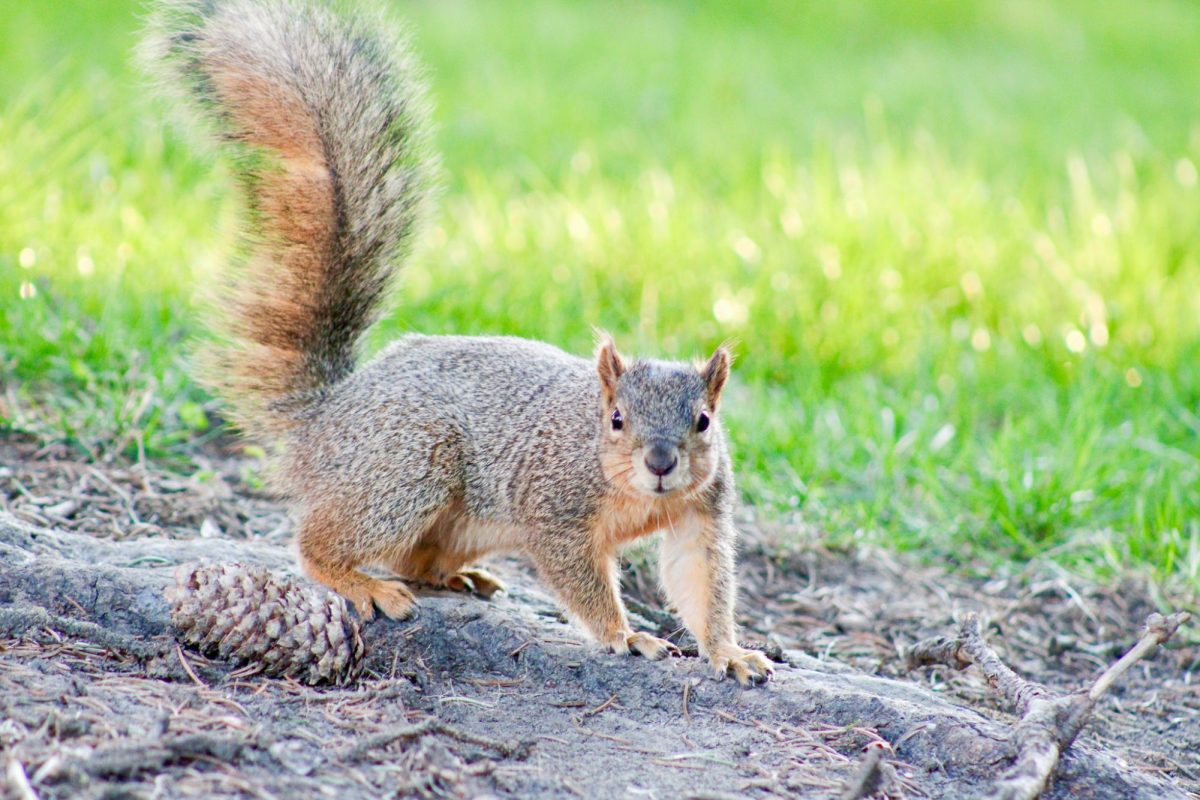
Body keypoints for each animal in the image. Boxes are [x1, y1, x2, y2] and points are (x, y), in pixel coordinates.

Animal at [144, 0, 773, 685]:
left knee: (417, 557)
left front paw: (730, 652)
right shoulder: (552, 508)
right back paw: (364, 583)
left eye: (704, 420)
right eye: (615, 419)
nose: (660, 462)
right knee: (321, 543)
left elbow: (699, 579)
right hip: (406, 469)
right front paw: (624, 635)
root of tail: (325, 419)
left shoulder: (702, 512)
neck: (633, 494)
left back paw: (459, 576)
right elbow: (579, 577)